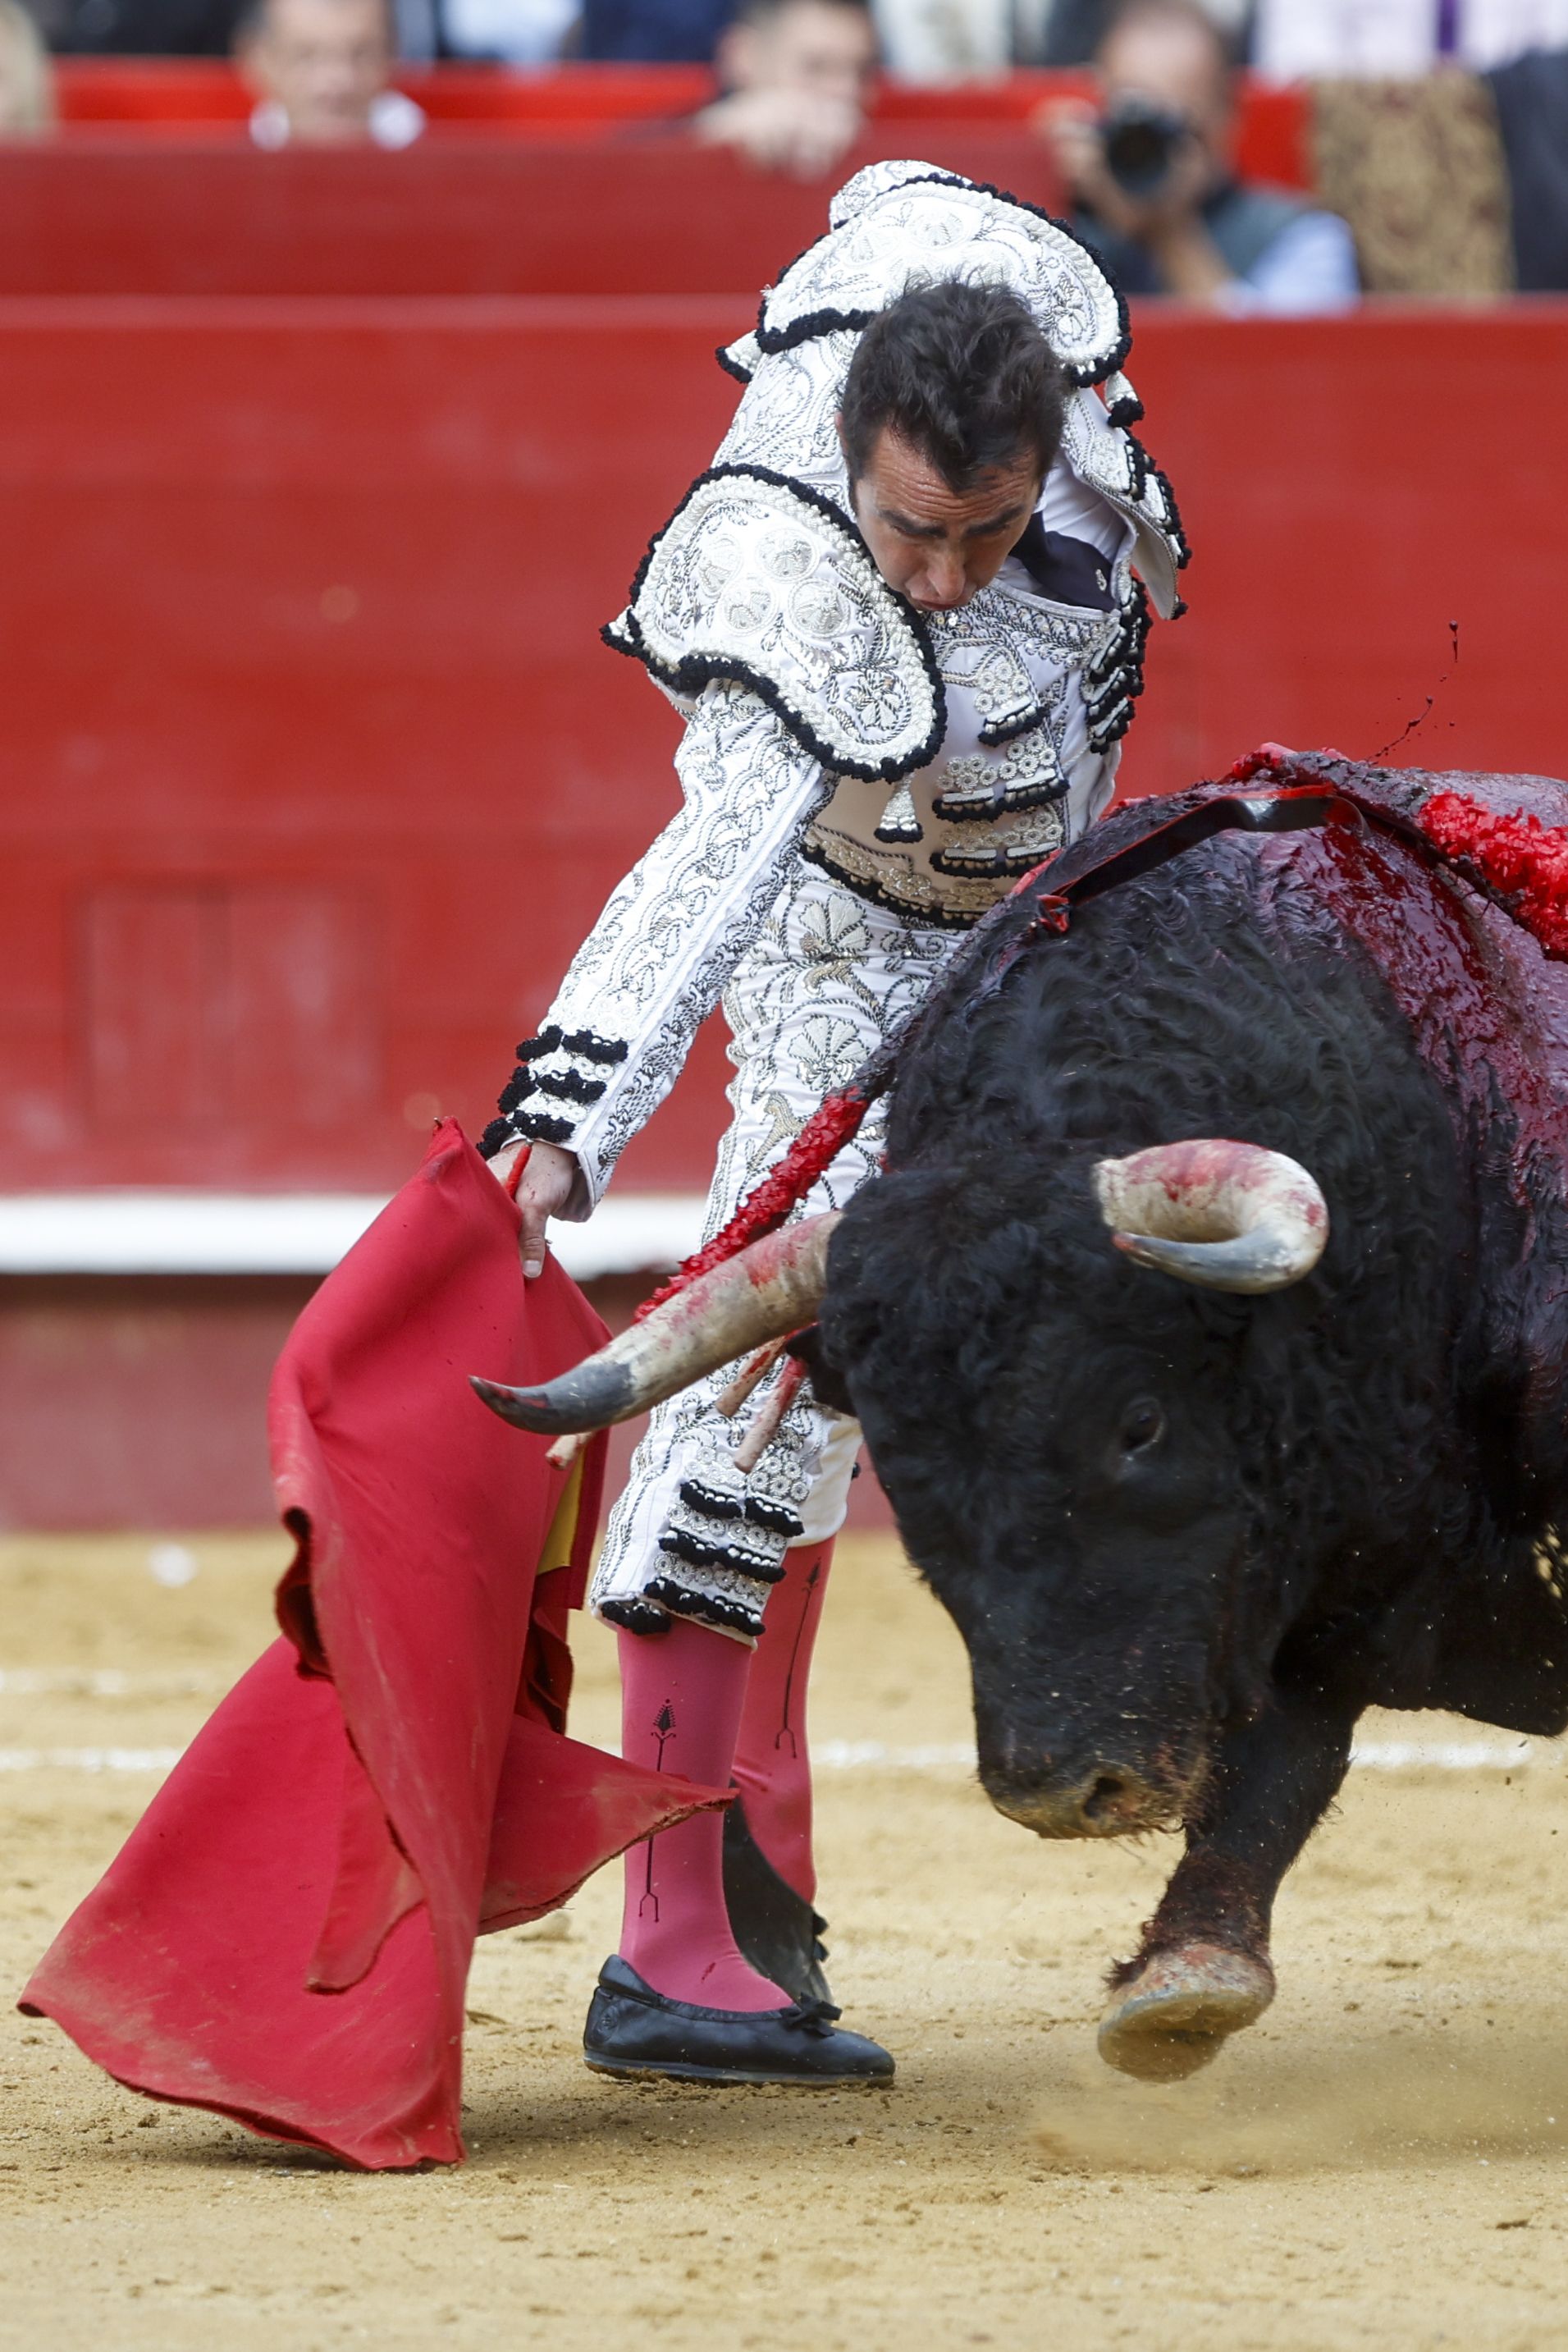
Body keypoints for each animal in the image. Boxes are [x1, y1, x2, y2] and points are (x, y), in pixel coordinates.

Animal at [474, 753, 1568, 2079]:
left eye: (1140, 1422)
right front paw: (1185, 1980)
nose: (1058, 1788)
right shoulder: (1326, 1569)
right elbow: (1281, 1751)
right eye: (903, 1460)